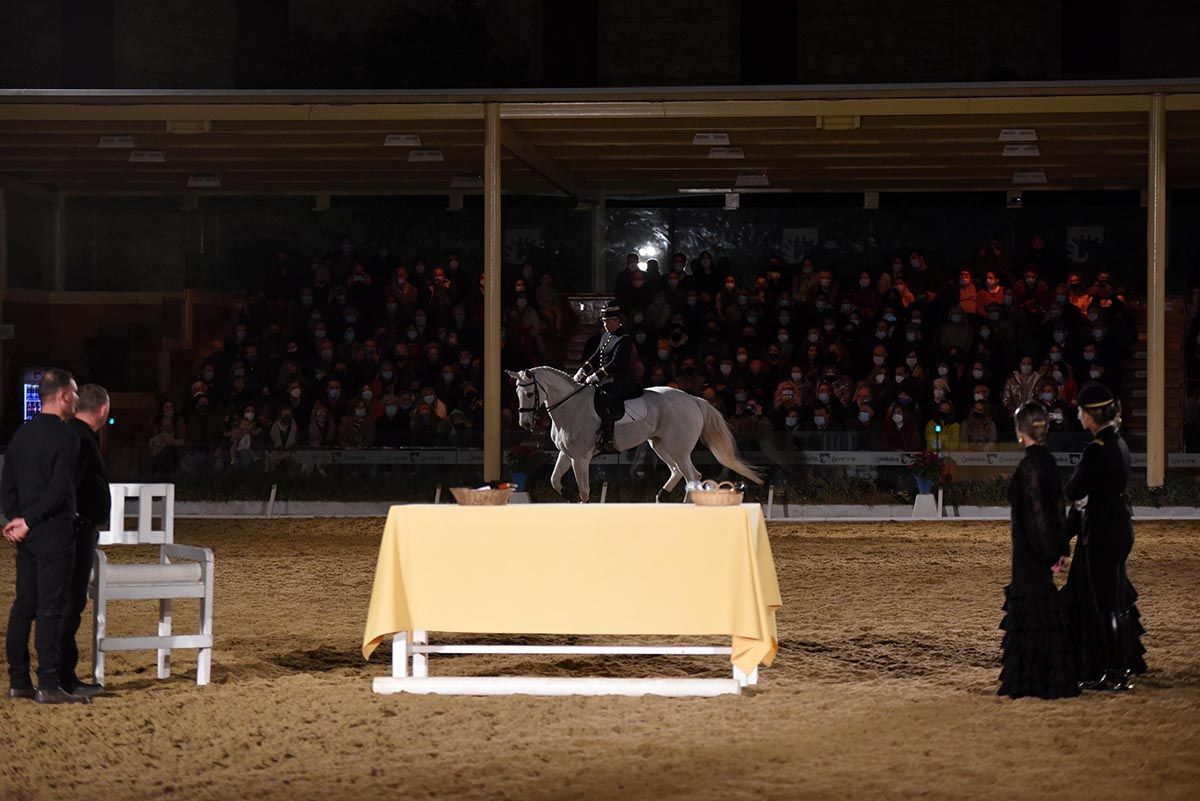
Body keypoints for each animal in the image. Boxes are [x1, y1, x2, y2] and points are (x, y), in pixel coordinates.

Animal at [506, 366, 758, 501]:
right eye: (517, 393)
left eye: (529, 394)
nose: (525, 424)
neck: (570, 406)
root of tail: (693, 399)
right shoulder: (566, 454)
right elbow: (555, 480)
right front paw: (567, 495)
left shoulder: (580, 458)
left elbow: (585, 490)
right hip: (660, 445)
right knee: (677, 471)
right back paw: (661, 496)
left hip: (678, 449)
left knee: (692, 476)